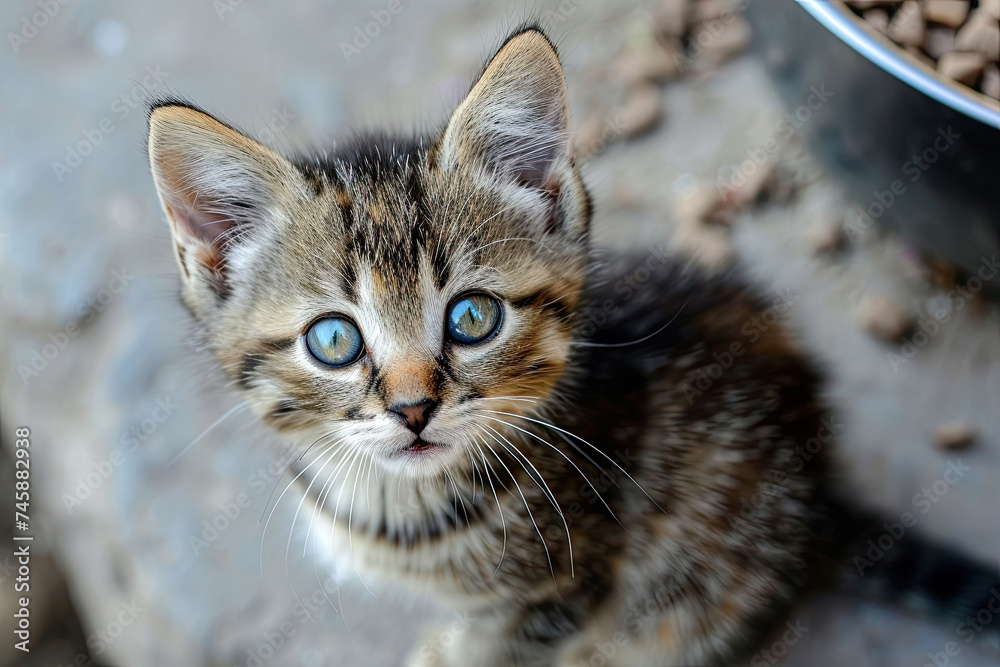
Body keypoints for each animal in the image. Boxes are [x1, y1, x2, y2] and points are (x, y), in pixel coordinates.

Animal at [148, 23, 1000, 664]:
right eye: (333, 339)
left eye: (473, 318)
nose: (414, 408)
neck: (395, 504)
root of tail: (821, 488)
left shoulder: (564, 588)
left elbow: (496, 653)